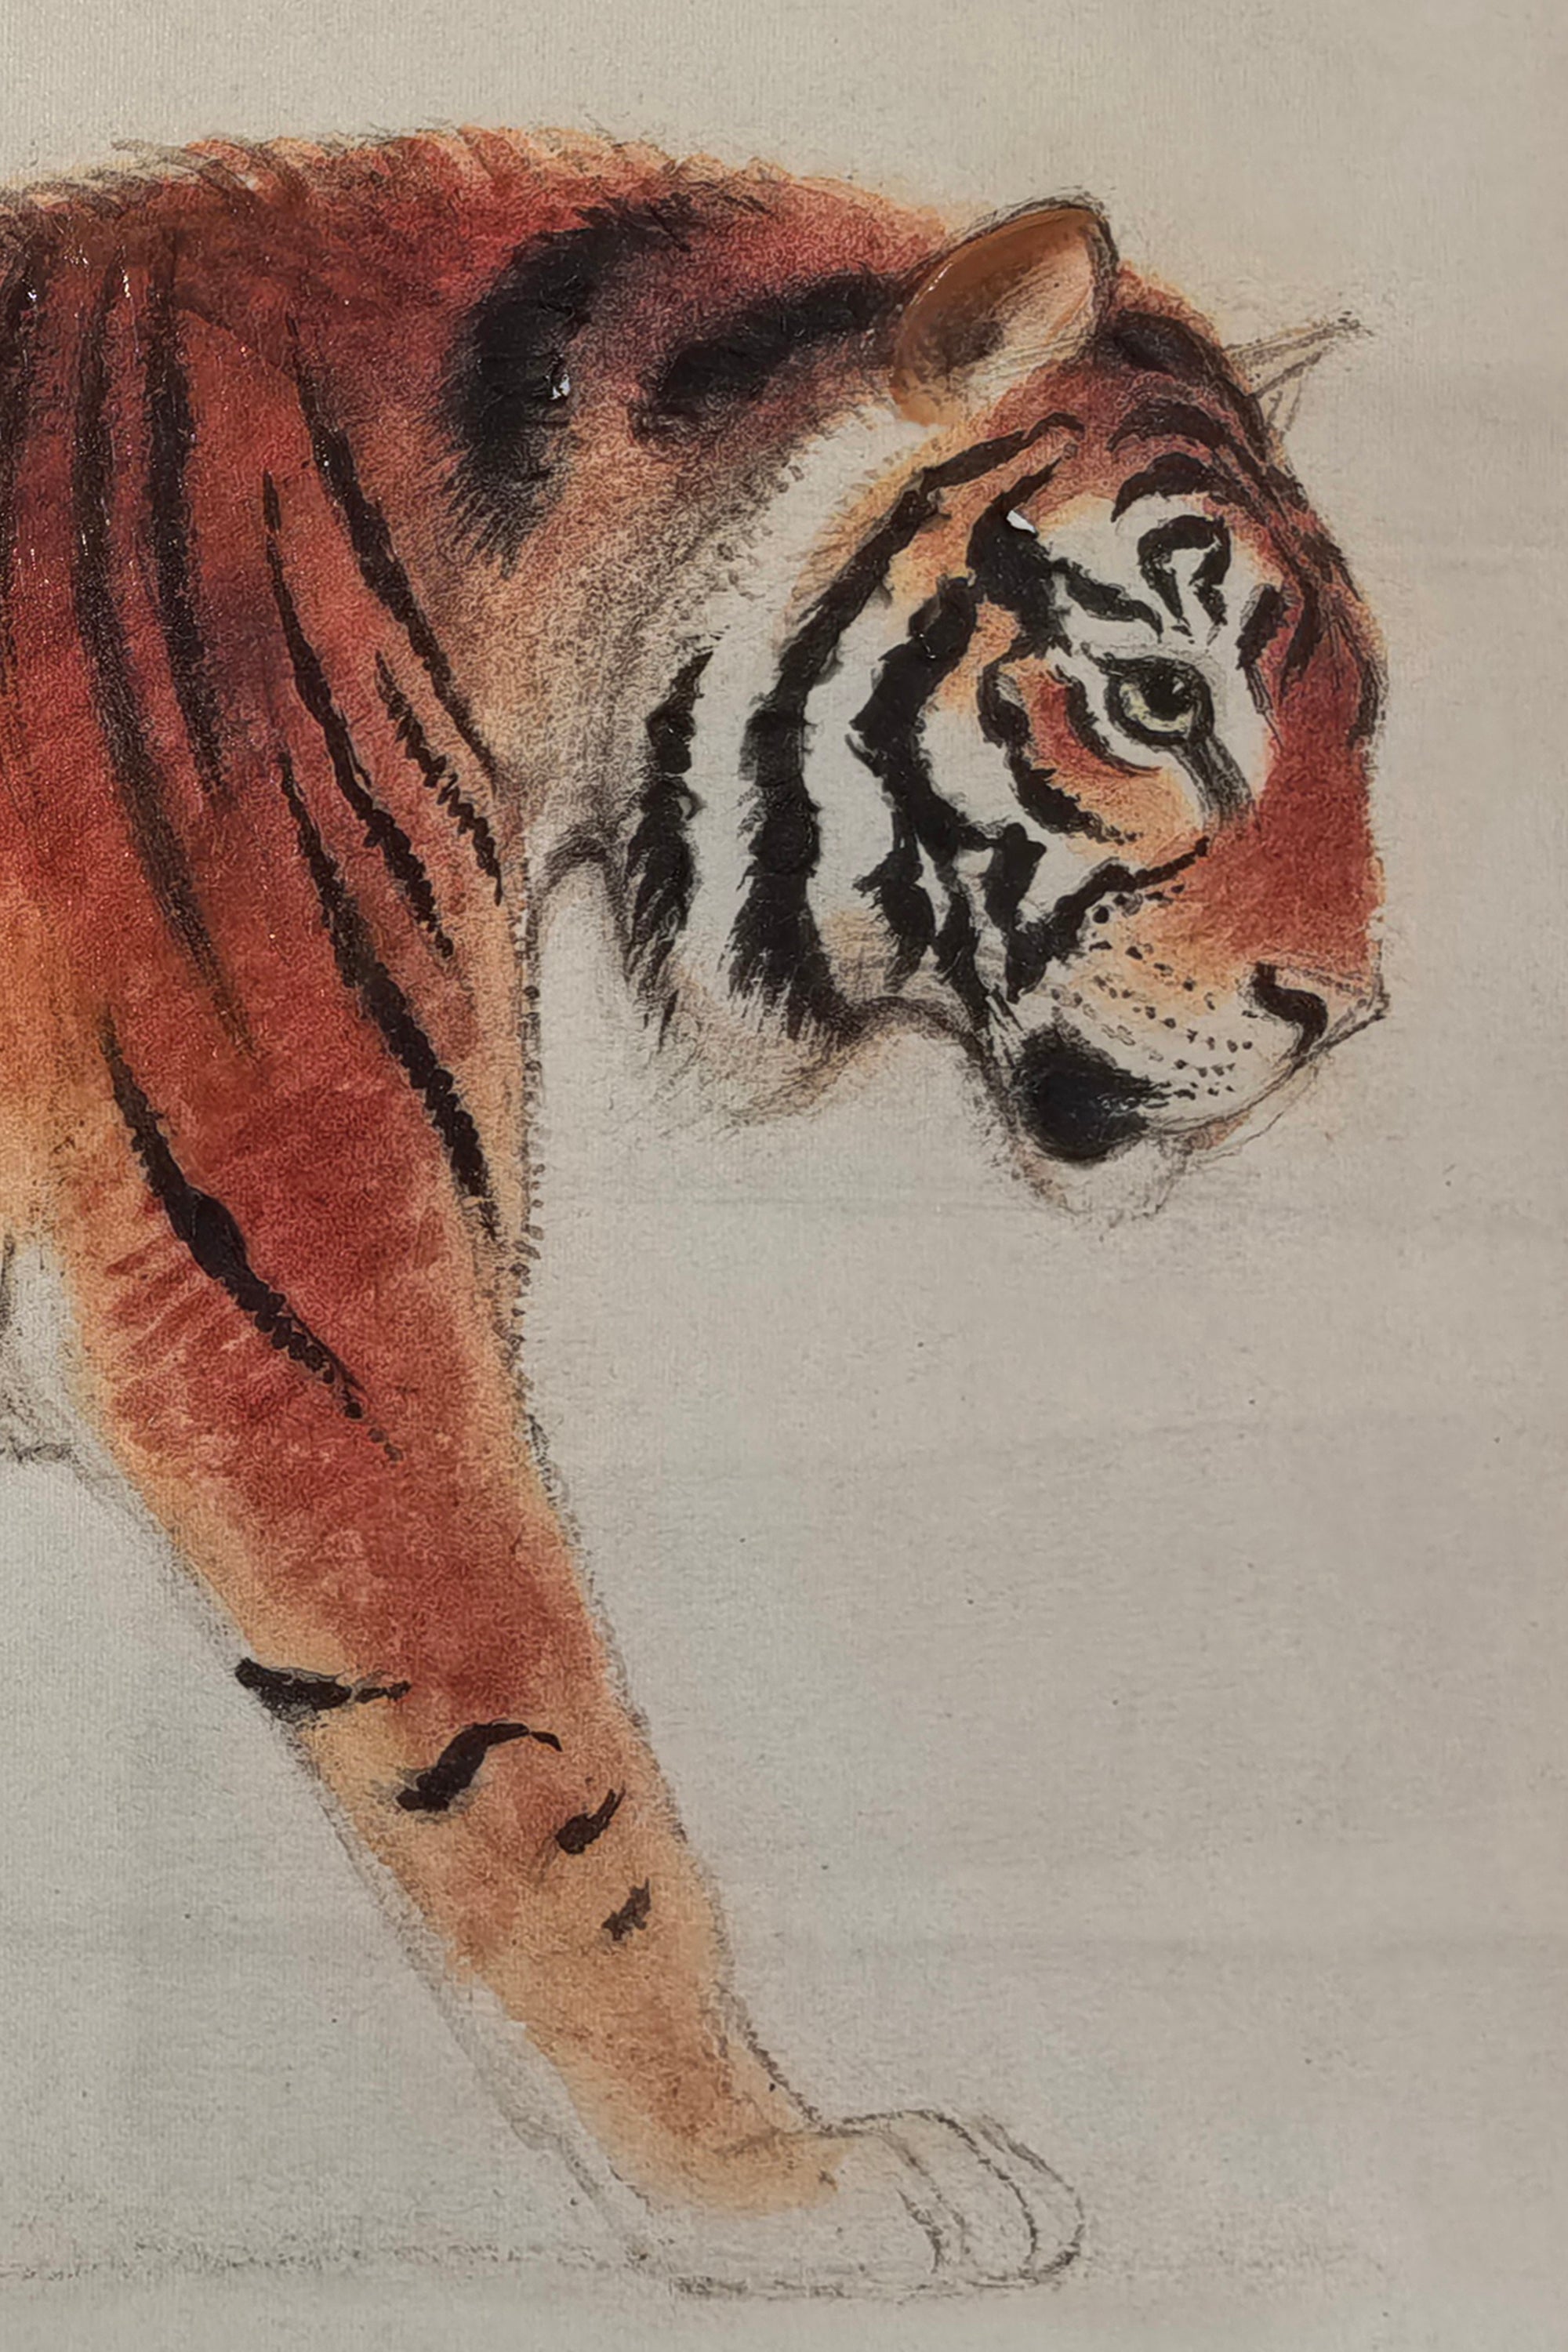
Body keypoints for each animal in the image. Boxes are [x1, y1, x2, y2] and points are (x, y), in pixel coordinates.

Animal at [0, 129, 1384, 2296]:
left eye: (1354, 717)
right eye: (1158, 698)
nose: (1348, 1010)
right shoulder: (299, 1284)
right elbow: (555, 1779)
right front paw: (785, 2179)